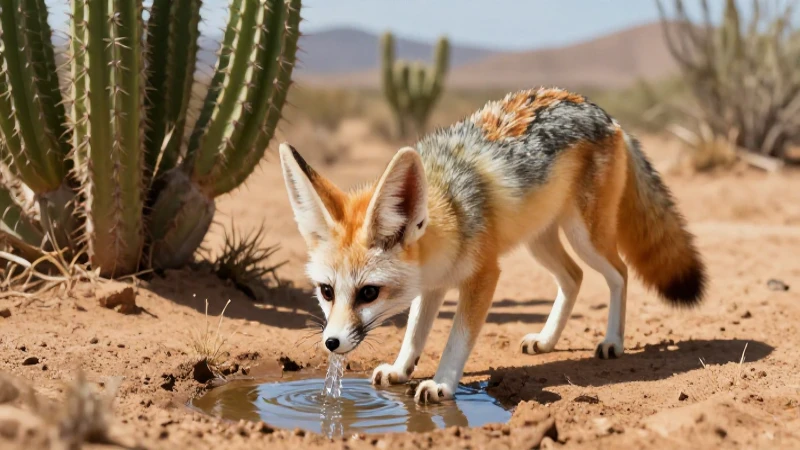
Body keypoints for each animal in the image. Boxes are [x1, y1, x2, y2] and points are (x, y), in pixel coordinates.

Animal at [279, 87, 706, 404]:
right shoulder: (432, 285)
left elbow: (457, 339)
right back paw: (547, 340)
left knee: (618, 272)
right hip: (540, 241)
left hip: (584, 236)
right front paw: (401, 369)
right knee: (574, 277)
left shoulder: (484, 274)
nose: (331, 343)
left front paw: (442, 383)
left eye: (368, 293)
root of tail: (604, 113)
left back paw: (613, 341)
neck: (450, 203)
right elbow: (415, 332)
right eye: (326, 291)